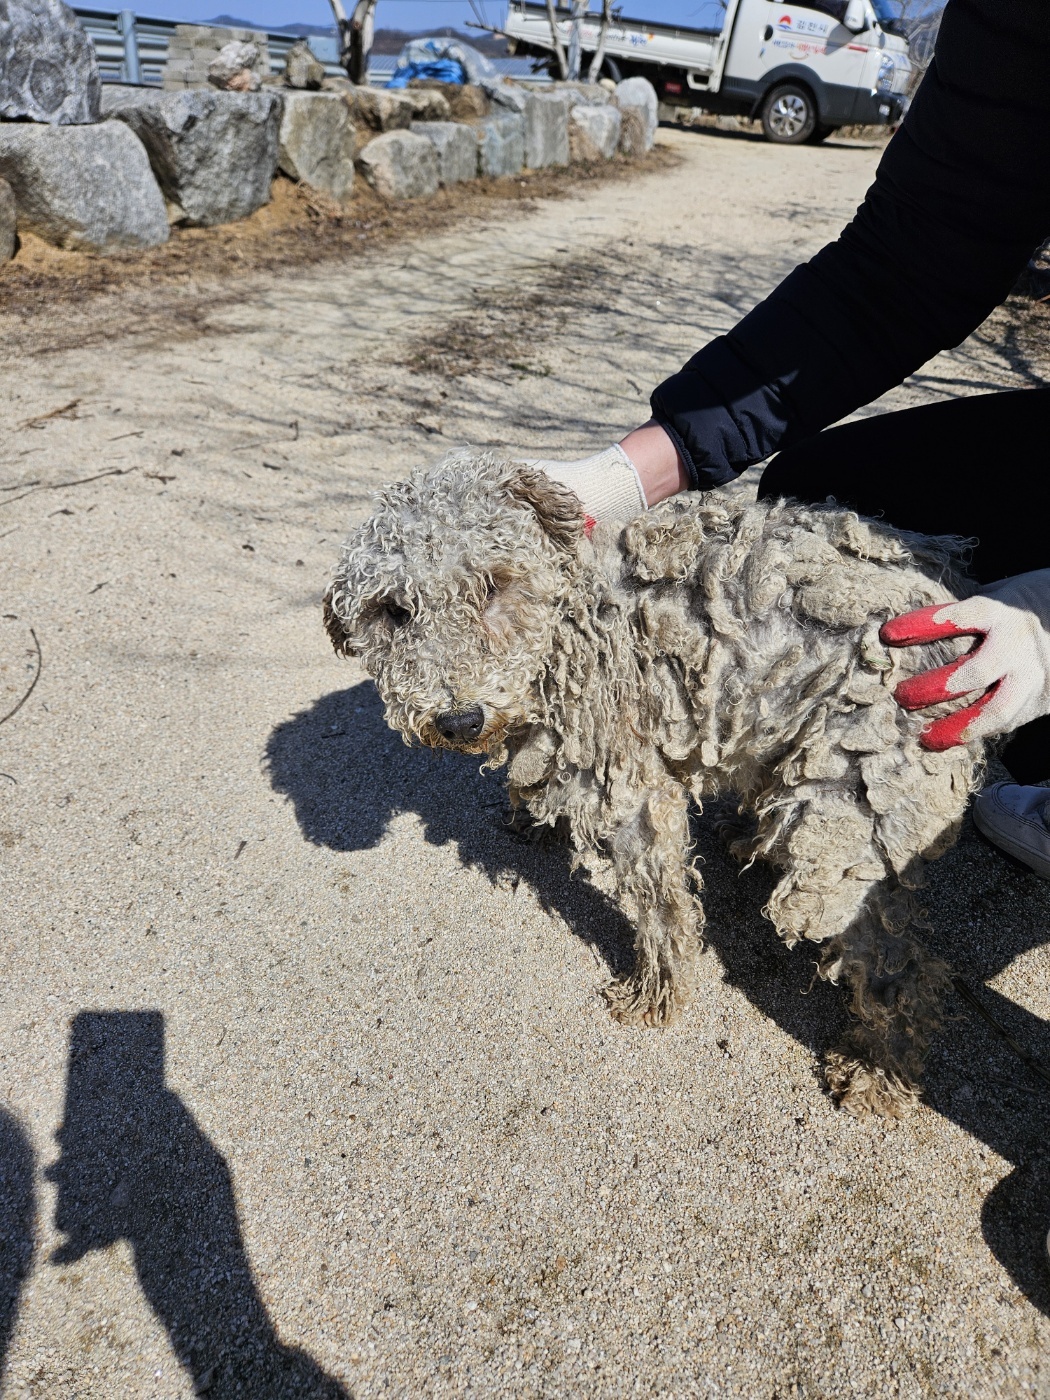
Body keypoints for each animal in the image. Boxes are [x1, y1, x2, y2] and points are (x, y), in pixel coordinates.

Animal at [323, 453, 985, 1108]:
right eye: (394, 611)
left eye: (492, 584)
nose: (459, 719)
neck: (572, 624)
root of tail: (942, 582)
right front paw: (531, 818)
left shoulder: (635, 787)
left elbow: (660, 905)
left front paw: (655, 994)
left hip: (848, 814)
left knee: (900, 963)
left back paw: (880, 1070)